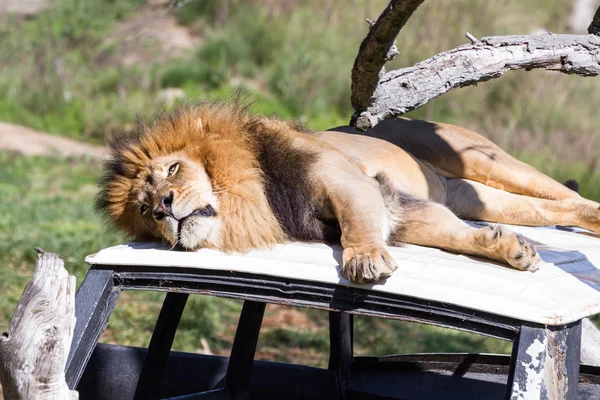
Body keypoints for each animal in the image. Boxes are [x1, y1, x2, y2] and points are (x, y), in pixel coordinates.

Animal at [97, 100, 600, 282]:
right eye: (144, 209)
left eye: (173, 169)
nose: (164, 208)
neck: (253, 198)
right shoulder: (407, 212)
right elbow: (456, 235)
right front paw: (509, 250)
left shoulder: (350, 182)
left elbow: (357, 225)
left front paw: (365, 259)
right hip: (473, 193)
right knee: (558, 208)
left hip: (483, 158)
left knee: (571, 197)